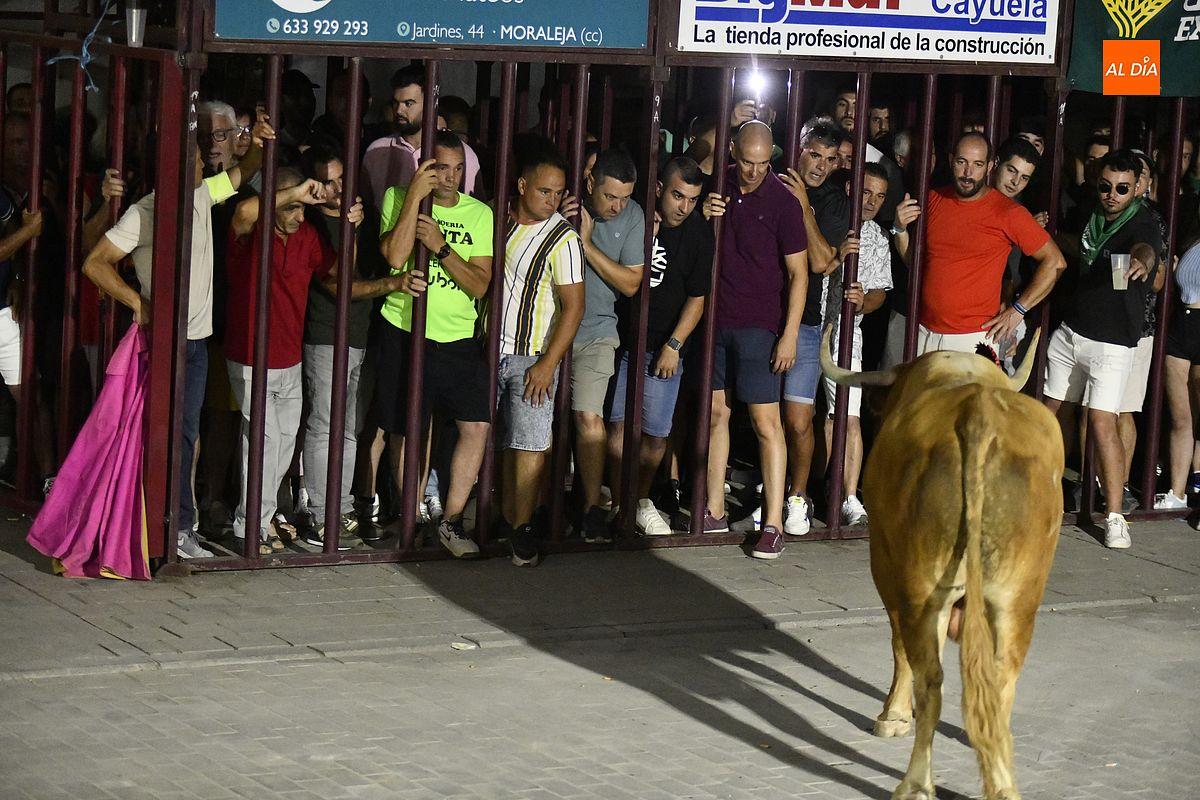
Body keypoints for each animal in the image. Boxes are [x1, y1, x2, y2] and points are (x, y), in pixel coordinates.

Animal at [822, 328, 1062, 800]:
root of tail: (978, 411)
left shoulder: (885, 563)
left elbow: (898, 645)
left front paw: (892, 716)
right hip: (1018, 597)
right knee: (1001, 678)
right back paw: (1002, 781)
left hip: (922, 588)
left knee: (930, 679)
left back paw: (915, 783)